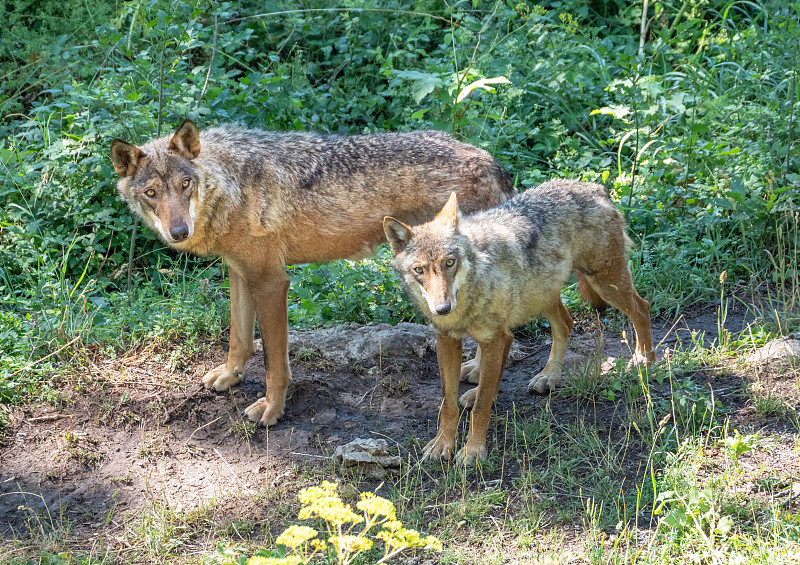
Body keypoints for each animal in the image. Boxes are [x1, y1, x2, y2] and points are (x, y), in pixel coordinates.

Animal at [109, 120, 516, 428]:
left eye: (185, 185)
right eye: (151, 193)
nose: (179, 232)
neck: (231, 186)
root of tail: (491, 160)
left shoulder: (272, 282)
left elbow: (274, 362)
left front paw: (272, 410)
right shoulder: (239, 273)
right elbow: (239, 339)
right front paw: (230, 377)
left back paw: (477, 393)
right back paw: (475, 374)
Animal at [384, 180, 652, 462]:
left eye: (449, 262)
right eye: (419, 270)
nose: (442, 308)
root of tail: (593, 186)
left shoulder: (495, 338)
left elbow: (481, 407)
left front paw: (474, 450)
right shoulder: (447, 339)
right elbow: (448, 403)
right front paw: (442, 444)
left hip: (604, 285)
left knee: (642, 308)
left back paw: (644, 359)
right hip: (543, 296)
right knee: (566, 324)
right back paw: (548, 376)